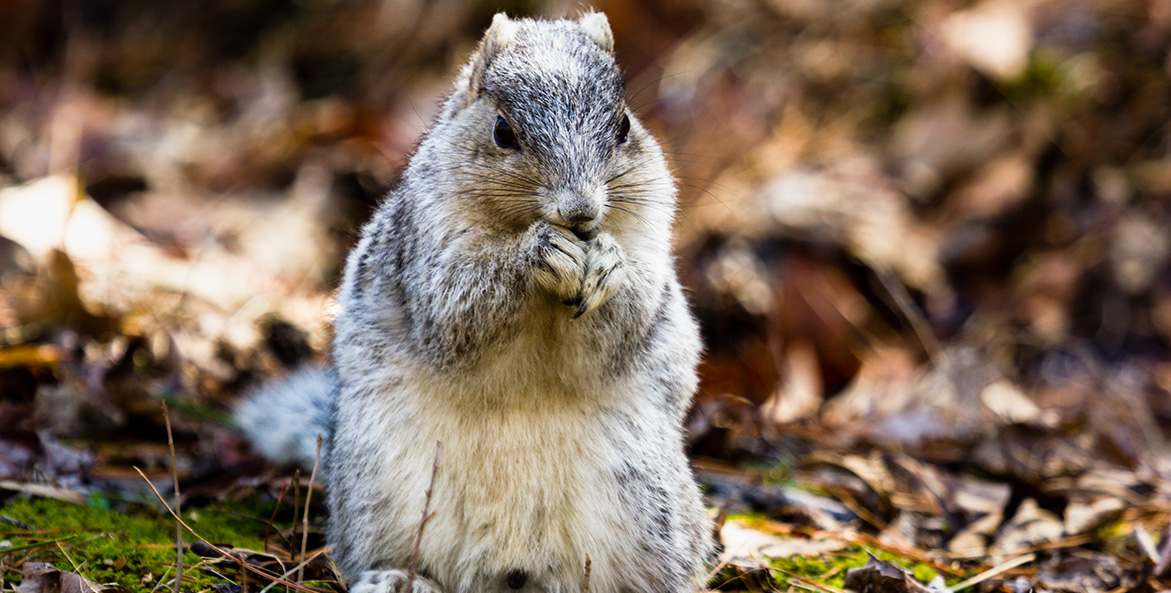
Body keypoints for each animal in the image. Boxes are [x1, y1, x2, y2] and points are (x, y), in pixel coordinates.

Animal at [236, 12, 707, 593]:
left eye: (623, 126)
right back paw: (400, 579)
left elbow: (629, 324)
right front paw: (536, 252)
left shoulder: (650, 241)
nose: (581, 211)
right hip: (381, 487)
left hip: (645, 499)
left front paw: (608, 266)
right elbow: (455, 313)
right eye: (503, 131)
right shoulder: (425, 246)